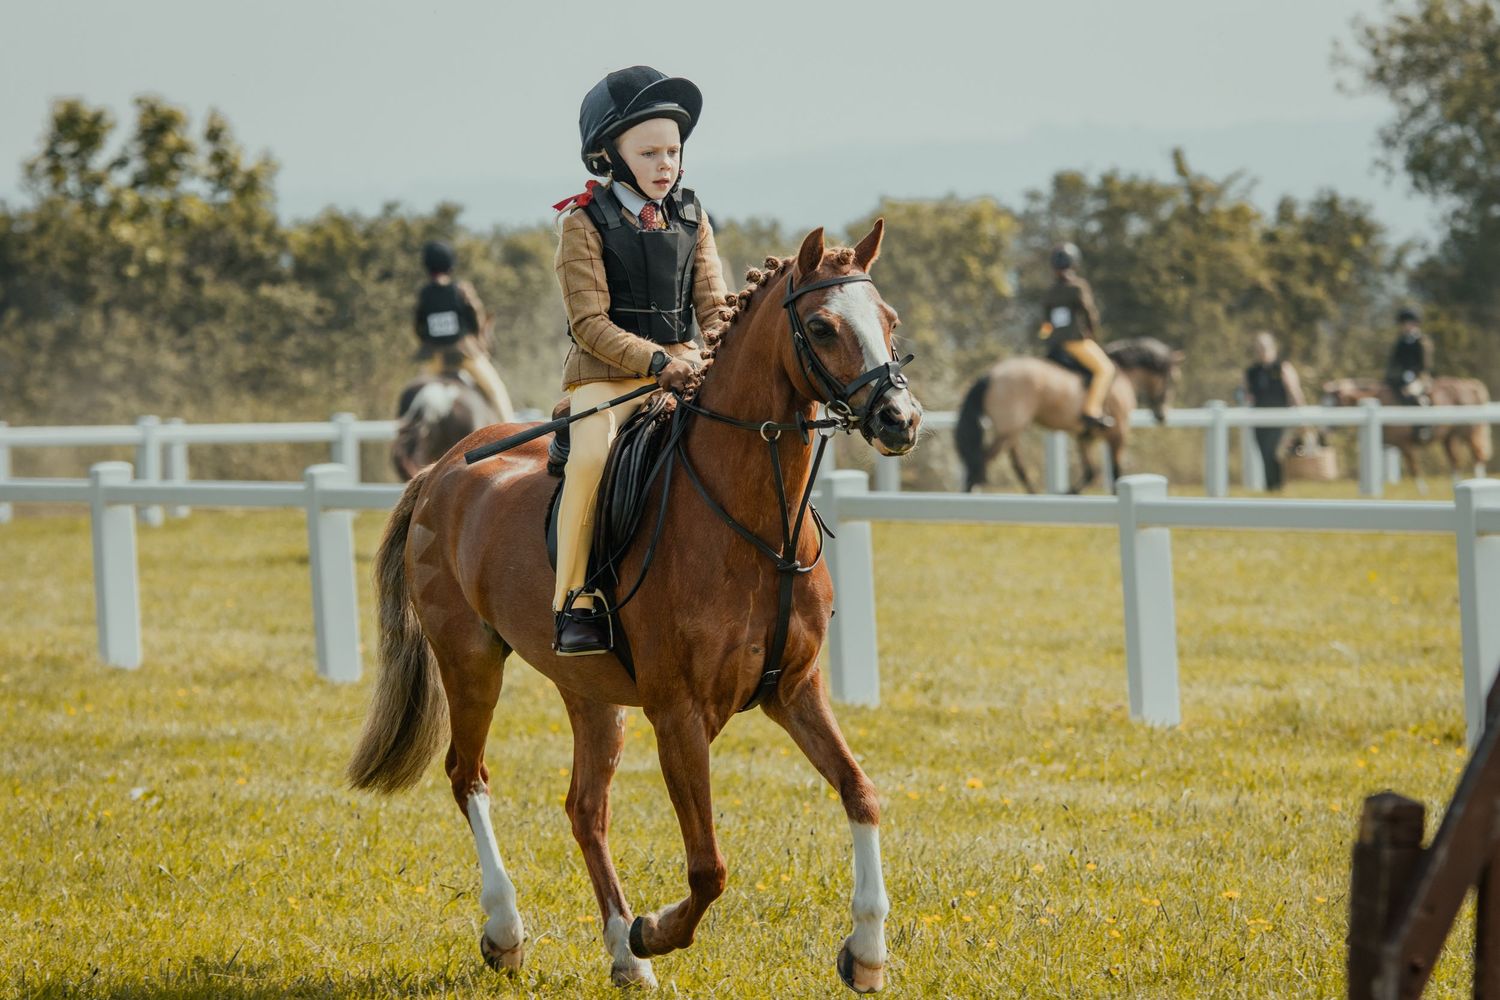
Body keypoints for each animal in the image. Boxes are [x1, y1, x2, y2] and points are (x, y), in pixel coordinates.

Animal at [347, 222, 921, 992]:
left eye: (888, 321)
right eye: (824, 327)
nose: (900, 419)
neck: (753, 522)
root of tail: (443, 467)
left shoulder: (795, 689)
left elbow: (860, 792)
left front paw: (866, 951)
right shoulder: (679, 712)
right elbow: (708, 868)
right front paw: (657, 929)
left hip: (590, 693)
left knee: (585, 809)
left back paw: (623, 954)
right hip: (470, 663)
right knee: (469, 777)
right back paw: (511, 933)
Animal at [954, 337, 1184, 493]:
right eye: (1172, 378)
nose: (1162, 415)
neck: (1123, 373)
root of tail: (990, 375)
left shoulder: (1084, 436)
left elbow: (1092, 472)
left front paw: (1068, 492)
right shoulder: (1118, 433)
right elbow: (1115, 471)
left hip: (1011, 431)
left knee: (1014, 465)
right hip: (1010, 429)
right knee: (982, 461)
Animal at [1322, 376, 1492, 483]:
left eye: (1334, 405)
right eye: (1324, 403)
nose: (1323, 437)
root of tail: (1469, 384)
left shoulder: (1404, 444)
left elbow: (1414, 467)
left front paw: (1422, 492)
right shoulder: (1384, 444)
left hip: (1469, 432)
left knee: (1477, 456)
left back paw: (1479, 481)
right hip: (1449, 437)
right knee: (1456, 462)